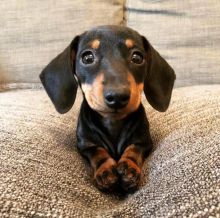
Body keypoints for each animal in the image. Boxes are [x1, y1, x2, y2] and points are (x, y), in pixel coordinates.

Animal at [40, 26, 176, 192]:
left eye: (137, 57)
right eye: (87, 58)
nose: (117, 96)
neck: (113, 123)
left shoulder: (144, 141)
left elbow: (133, 149)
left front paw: (129, 168)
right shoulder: (85, 145)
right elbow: (98, 152)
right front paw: (105, 171)